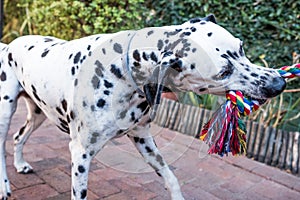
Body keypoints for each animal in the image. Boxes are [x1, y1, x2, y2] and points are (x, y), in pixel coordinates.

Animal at [0, 15, 286, 200]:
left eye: (241, 47)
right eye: (224, 72)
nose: (279, 83)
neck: (121, 69)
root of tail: (9, 45)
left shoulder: (143, 138)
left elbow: (171, 178)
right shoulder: (80, 153)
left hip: (39, 113)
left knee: (18, 136)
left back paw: (21, 164)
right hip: (5, 113)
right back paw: (4, 187)